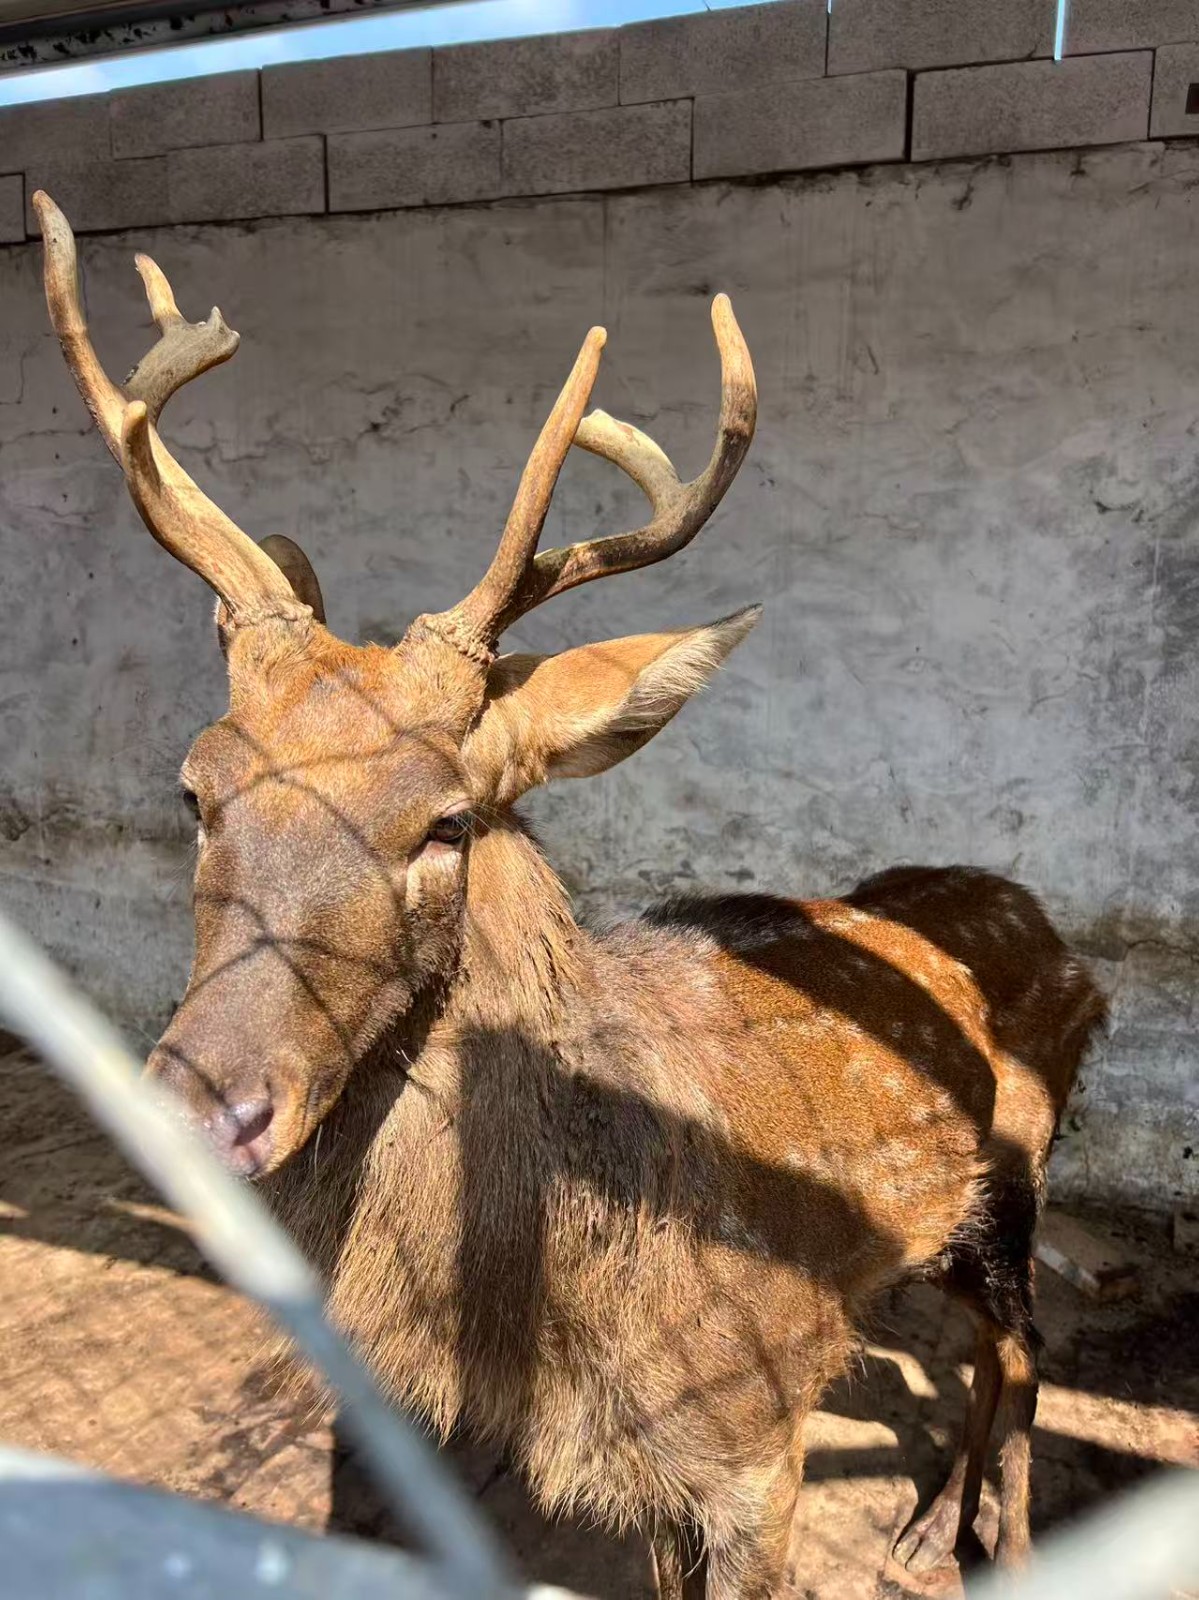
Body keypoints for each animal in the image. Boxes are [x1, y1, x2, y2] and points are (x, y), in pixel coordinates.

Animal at [34, 190, 1105, 1598]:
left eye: (444, 819)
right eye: (194, 788)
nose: (203, 1106)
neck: (581, 1328)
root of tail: (1052, 930)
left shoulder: (759, 1431)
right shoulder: (658, 1484)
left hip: (1018, 1182)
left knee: (1025, 1354)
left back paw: (998, 1540)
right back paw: (929, 1525)